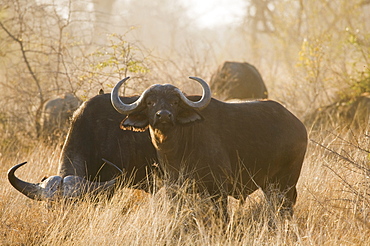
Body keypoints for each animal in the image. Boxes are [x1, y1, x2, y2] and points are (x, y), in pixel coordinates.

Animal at [111, 77, 308, 217]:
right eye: (150, 102)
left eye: (175, 102)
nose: (164, 115)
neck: (177, 149)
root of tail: (298, 125)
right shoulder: (174, 187)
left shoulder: (218, 189)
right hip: (269, 184)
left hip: (286, 181)